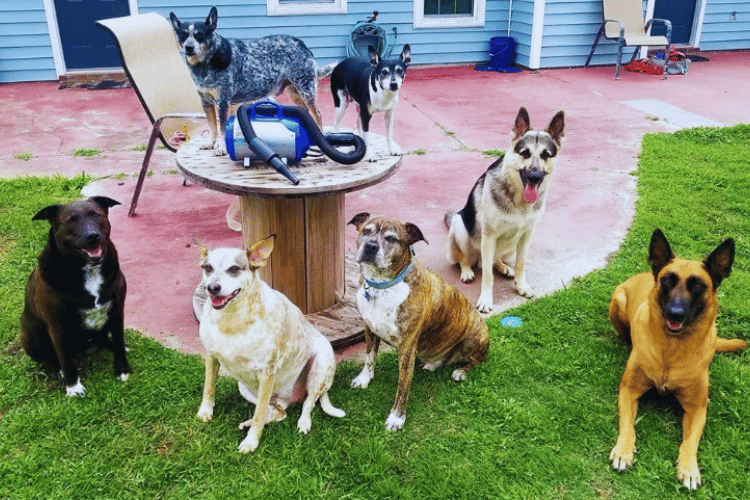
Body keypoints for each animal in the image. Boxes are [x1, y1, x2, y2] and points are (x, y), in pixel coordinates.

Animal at [20, 197, 131, 396]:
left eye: (96, 215)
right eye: (70, 220)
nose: (92, 235)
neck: (88, 270)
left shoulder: (117, 311)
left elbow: (118, 341)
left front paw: (122, 369)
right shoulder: (57, 325)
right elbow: (64, 357)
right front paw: (73, 386)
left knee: (105, 339)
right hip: (29, 335)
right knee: (53, 358)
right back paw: (60, 372)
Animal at [172, 5, 336, 154]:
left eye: (199, 35)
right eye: (183, 35)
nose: (188, 47)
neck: (205, 65)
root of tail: (303, 44)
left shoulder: (223, 102)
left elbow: (222, 129)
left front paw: (222, 147)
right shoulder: (206, 102)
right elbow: (212, 127)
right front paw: (210, 143)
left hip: (306, 89)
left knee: (317, 114)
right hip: (294, 92)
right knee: (306, 112)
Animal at [446, 107, 564, 312]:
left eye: (546, 155)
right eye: (525, 153)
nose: (534, 177)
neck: (520, 202)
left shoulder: (526, 235)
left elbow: (521, 264)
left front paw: (521, 285)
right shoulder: (489, 237)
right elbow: (487, 275)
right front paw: (486, 299)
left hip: (510, 246)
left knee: (495, 260)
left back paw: (504, 267)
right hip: (459, 227)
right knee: (465, 258)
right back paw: (467, 270)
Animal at [612, 229, 748, 490]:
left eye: (697, 286)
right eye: (668, 280)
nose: (675, 314)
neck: (671, 348)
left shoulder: (698, 407)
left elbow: (690, 442)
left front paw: (689, 468)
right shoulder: (628, 390)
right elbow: (628, 426)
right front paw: (623, 450)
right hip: (618, 299)